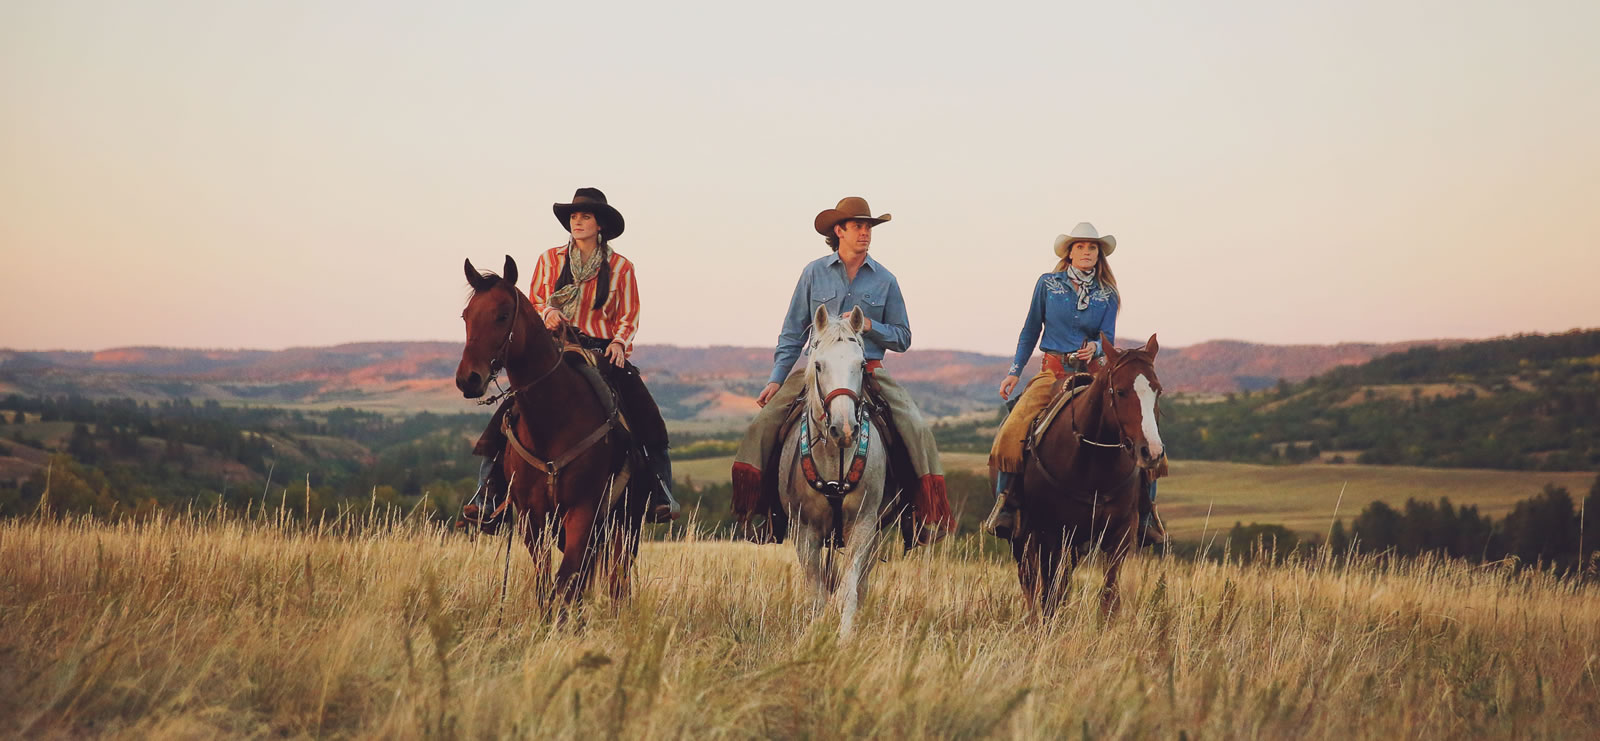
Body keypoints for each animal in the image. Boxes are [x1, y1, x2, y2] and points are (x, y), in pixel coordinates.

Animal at [454, 257, 646, 611]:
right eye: (466, 316)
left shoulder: (583, 510)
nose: (468, 379)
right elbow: (548, 583)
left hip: (627, 522)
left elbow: (566, 581)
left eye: (503, 315)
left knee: (618, 579)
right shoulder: (532, 516)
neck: (554, 417)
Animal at [780, 307, 896, 636]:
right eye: (819, 365)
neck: (835, 459)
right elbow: (816, 592)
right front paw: (815, 634)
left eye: (861, 365)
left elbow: (849, 588)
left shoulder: (864, 524)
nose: (844, 429)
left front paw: (845, 638)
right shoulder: (804, 530)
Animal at [1004, 332, 1171, 617]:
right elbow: (1050, 595)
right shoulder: (1051, 533)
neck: (1093, 464)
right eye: (1121, 391)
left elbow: (1108, 598)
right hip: (1023, 538)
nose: (1152, 451)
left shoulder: (1120, 533)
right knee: (1030, 582)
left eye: (1157, 390)